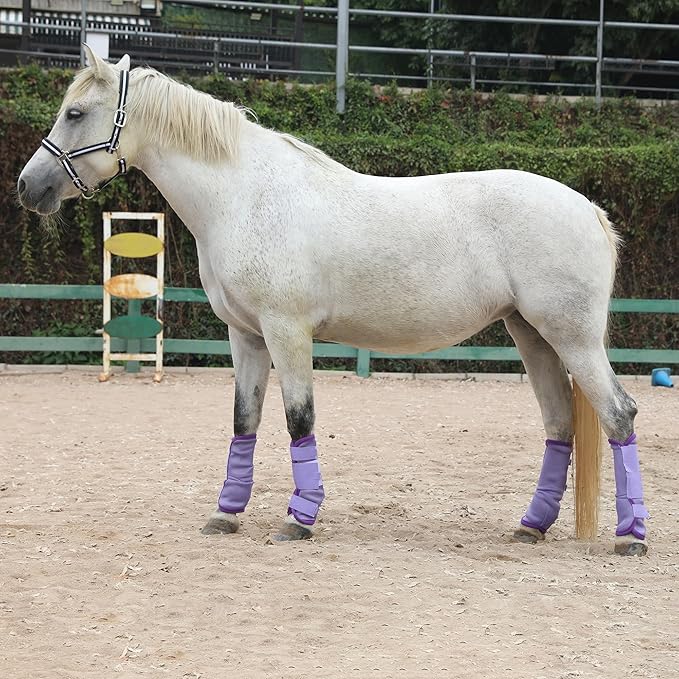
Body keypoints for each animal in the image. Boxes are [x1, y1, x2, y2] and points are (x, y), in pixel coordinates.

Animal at [17, 47, 649, 555]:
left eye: (76, 113)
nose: (28, 186)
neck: (243, 195)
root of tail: (590, 210)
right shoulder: (246, 336)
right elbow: (245, 419)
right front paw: (226, 514)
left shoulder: (286, 332)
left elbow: (299, 419)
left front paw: (299, 520)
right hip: (532, 335)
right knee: (560, 423)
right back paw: (531, 526)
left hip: (570, 339)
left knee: (619, 414)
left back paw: (631, 537)